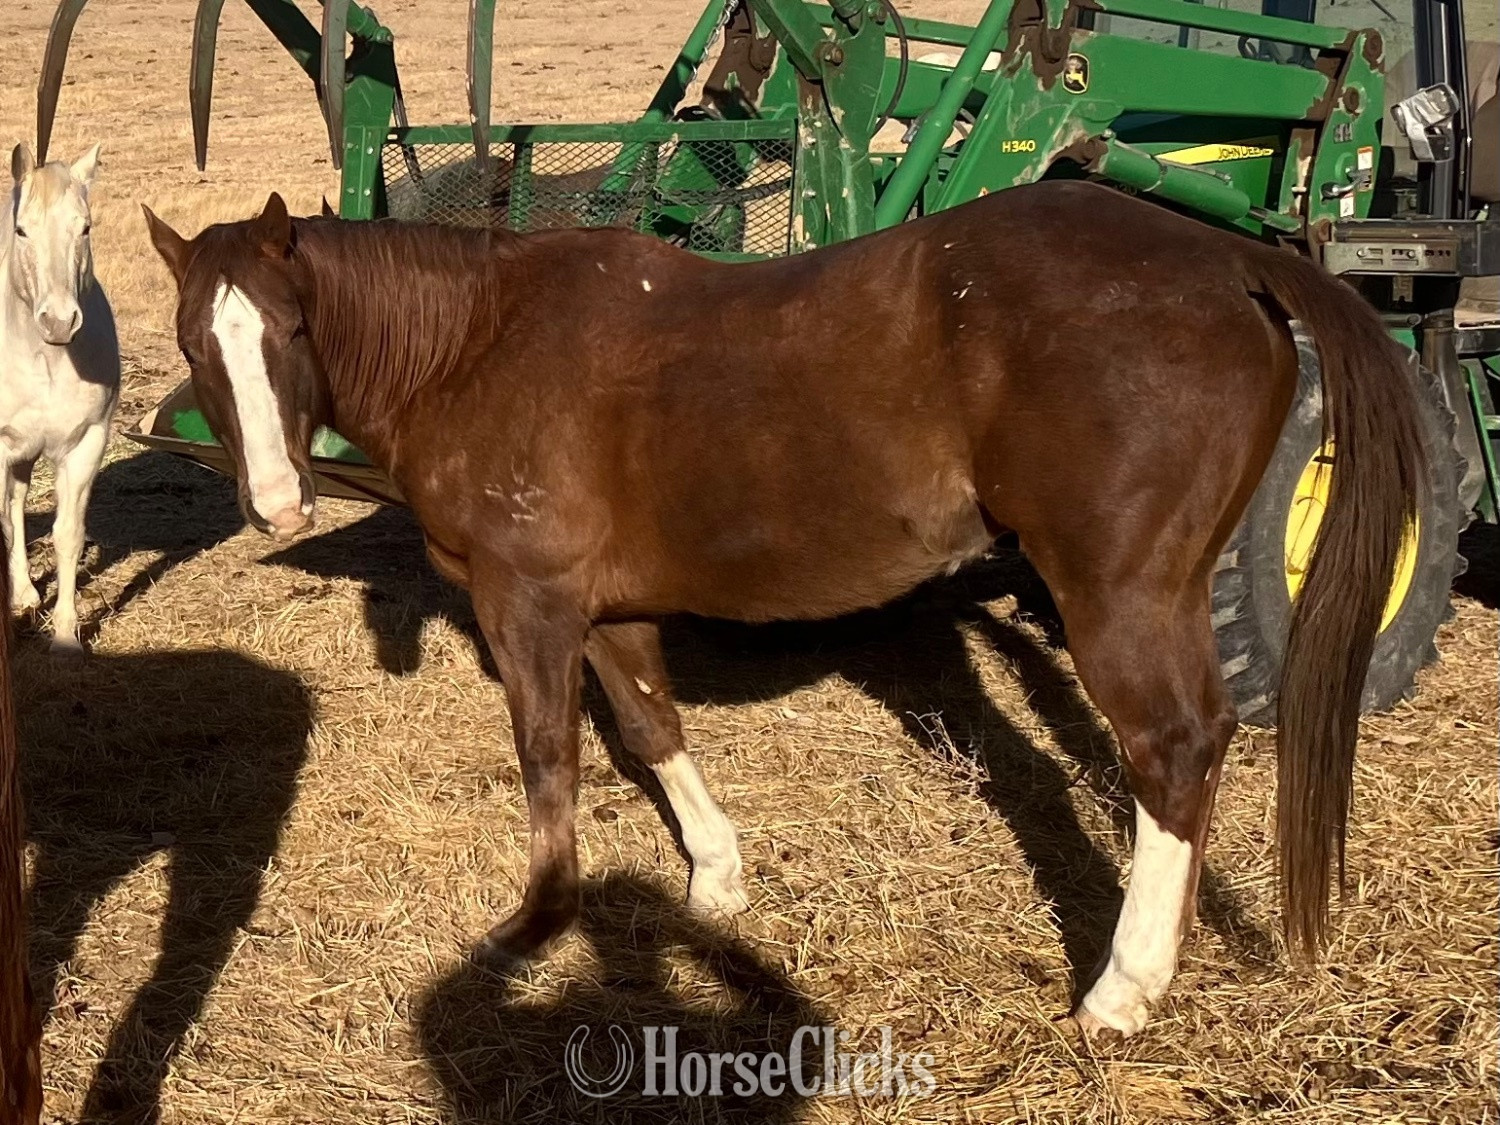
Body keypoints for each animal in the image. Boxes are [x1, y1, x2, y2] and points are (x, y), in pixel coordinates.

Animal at [141, 180, 1424, 1037]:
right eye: (195, 344)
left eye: (291, 330)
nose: (274, 505)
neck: (480, 344)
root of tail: (1226, 258)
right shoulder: (606, 612)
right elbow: (651, 727)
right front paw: (715, 880)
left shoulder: (529, 607)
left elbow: (551, 760)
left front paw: (535, 925)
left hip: (1120, 591)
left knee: (1174, 747)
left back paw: (1125, 986)